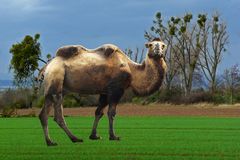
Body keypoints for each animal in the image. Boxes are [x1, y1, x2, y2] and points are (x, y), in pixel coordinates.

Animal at [39, 38, 167, 146]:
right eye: (150, 45)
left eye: (163, 45)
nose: (158, 52)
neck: (132, 69)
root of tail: (47, 66)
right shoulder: (116, 89)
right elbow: (111, 113)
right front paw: (113, 136)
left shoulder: (105, 92)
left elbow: (98, 112)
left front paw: (94, 136)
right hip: (56, 80)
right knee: (58, 115)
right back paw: (74, 139)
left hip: (53, 88)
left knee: (43, 114)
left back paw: (50, 141)